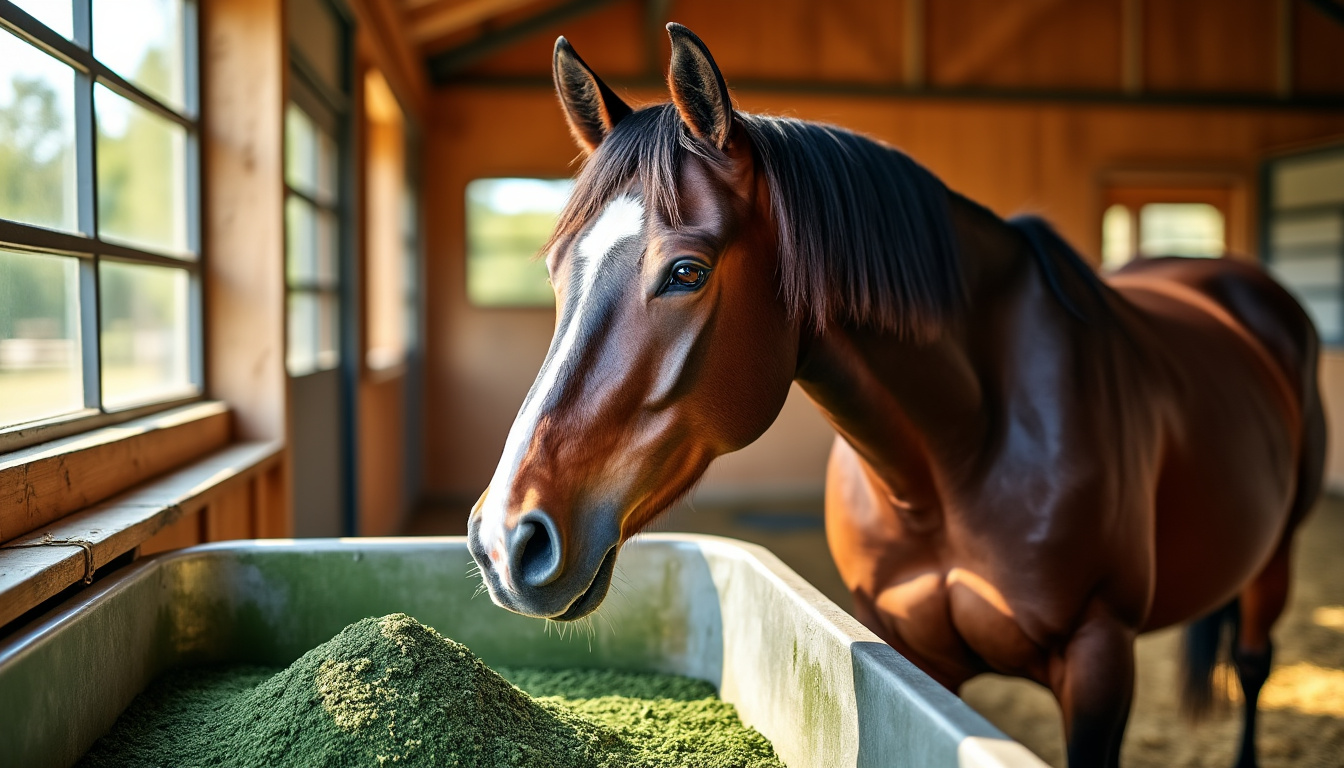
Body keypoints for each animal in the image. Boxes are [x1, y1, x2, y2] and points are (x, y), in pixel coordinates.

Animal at [466, 24, 1325, 768]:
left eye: (686, 271)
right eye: (557, 270)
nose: (508, 539)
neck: (961, 453)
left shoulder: (1099, 655)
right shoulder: (914, 653)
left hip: (1277, 553)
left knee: (1254, 664)